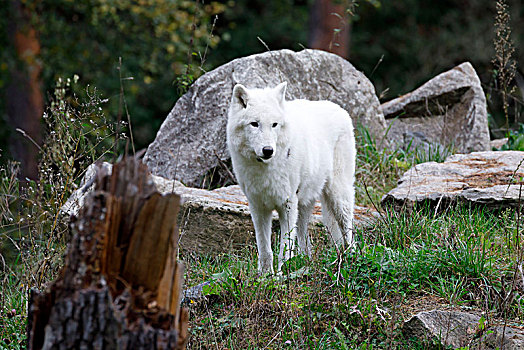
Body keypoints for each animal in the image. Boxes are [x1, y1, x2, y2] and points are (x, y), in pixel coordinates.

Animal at [226, 82, 356, 274]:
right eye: (254, 124)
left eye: (274, 124)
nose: (268, 150)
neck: (265, 169)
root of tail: (340, 109)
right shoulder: (258, 207)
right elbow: (265, 249)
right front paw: (264, 276)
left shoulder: (286, 205)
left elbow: (284, 249)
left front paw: (281, 275)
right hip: (304, 205)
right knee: (304, 241)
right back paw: (307, 263)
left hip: (338, 196)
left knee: (348, 230)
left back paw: (352, 257)